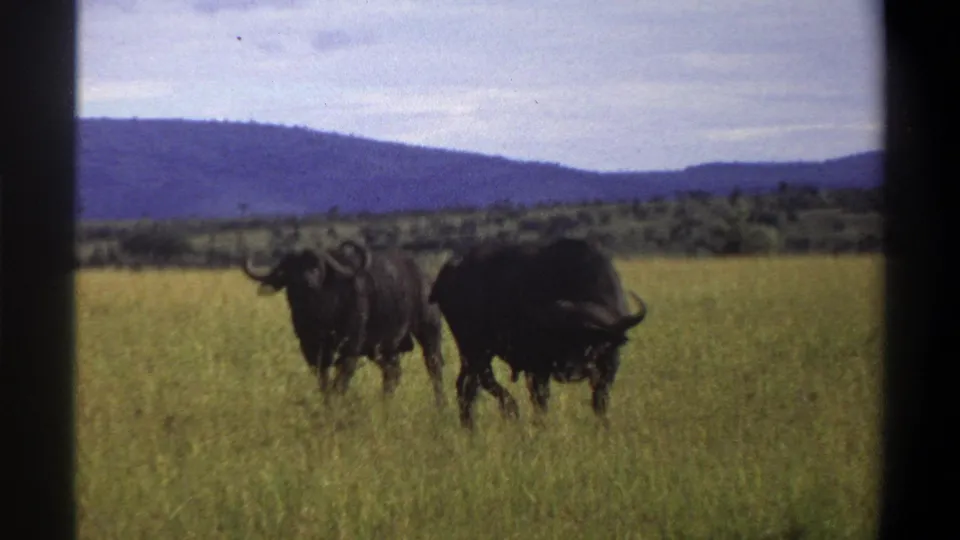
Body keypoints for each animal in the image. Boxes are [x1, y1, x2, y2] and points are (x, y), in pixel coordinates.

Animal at [242, 240, 446, 408]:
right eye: (291, 269)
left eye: (317, 266)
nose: (306, 282)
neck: (321, 317)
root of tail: (425, 277)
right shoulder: (312, 351)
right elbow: (324, 382)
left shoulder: (350, 349)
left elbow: (340, 383)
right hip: (384, 348)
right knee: (392, 373)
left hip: (429, 330)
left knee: (434, 367)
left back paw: (440, 405)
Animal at [427, 238, 648, 429]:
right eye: (561, 337)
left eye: (592, 341)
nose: (572, 370)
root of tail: (446, 274)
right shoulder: (537, 367)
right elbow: (540, 400)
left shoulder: (610, 365)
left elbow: (600, 399)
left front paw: (604, 426)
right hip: (474, 346)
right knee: (481, 379)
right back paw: (508, 409)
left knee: (466, 386)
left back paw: (470, 427)